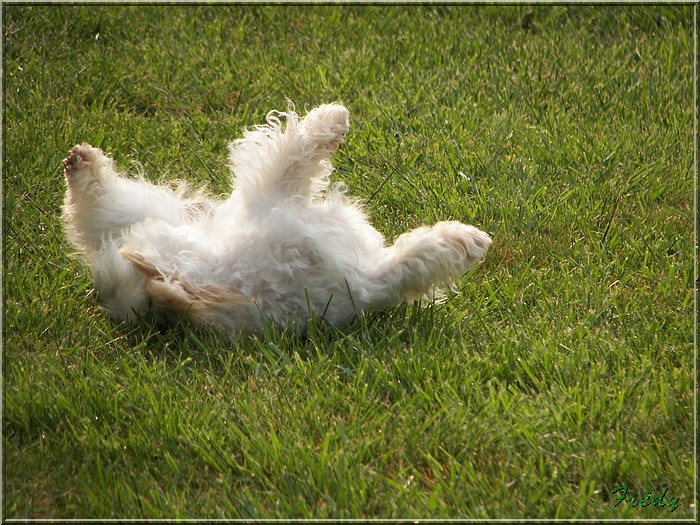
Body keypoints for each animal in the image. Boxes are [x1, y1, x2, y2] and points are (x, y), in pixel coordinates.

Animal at [64, 104, 492, 338]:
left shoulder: (272, 198)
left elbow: (295, 152)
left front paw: (332, 119)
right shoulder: (366, 280)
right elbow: (415, 259)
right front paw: (466, 240)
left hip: (156, 212)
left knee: (103, 209)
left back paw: (82, 164)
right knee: (100, 211)